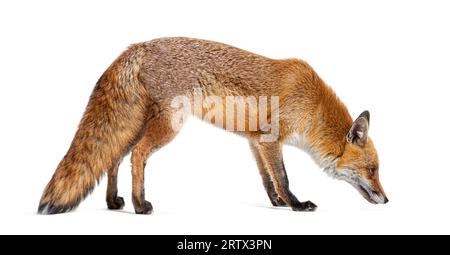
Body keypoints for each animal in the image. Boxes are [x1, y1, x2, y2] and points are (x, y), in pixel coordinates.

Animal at [37, 36, 386, 214]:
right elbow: (284, 178)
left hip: (136, 125)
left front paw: (276, 204)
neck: (312, 104)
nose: (387, 200)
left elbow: (268, 179)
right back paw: (139, 204)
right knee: (137, 156)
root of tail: (136, 47)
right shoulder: (271, 140)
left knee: (114, 159)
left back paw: (113, 202)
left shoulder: (256, 141)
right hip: (168, 125)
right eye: (372, 170)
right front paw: (296, 205)